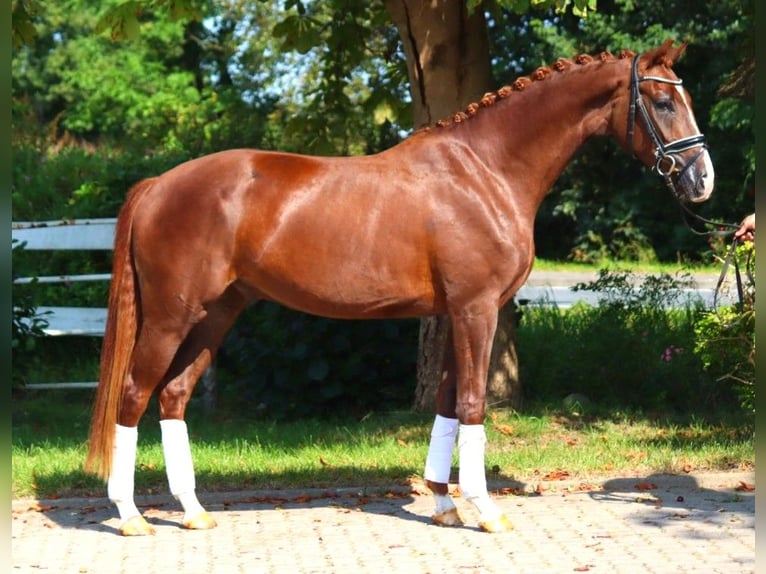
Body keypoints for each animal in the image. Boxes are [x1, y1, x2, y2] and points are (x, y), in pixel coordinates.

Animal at [82, 39, 712, 536]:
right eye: (662, 102)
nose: (702, 179)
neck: (484, 170)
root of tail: (159, 183)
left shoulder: (458, 313)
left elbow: (448, 404)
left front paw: (443, 505)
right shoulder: (476, 310)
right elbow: (474, 404)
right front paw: (486, 511)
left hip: (217, 314)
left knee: (173, 396)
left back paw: (192, 511)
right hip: (171, 316)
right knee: (134, 394)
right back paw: (131, 517)